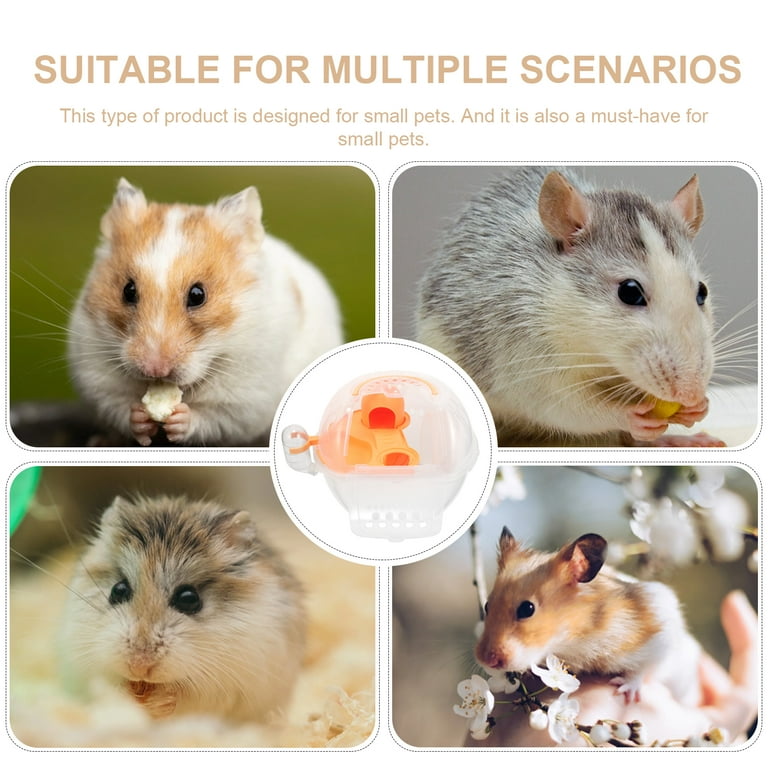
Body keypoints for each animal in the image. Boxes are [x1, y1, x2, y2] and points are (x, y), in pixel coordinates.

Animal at [59, 494, 305, 722]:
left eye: (188, 599)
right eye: (118, 590)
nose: (139, 666)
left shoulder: (226, 683)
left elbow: (186, 697)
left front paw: (158, 702)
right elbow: (106, 686)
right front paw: (131, 696)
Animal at [68, 179, 343, 446]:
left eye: (198, 295)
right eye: (128, 290)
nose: (155, 370)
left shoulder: (246, 399)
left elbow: (212, 418)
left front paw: (179, 418)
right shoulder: (97, 377)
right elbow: (119, 406)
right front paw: (140, 417)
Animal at [416, 167, 722, 447]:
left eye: (702, 292)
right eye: (630, 292)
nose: (691, 393)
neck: (597, 355)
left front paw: (699, 407)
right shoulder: (523, 346)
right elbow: (564, 406)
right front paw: (627, 415)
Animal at [475, 529, 700, 705]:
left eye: (527, 609)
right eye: (486, 606)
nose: (486, 660)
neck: (574, 638)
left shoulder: (660, 636)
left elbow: (643, 669)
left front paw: (624, 690)